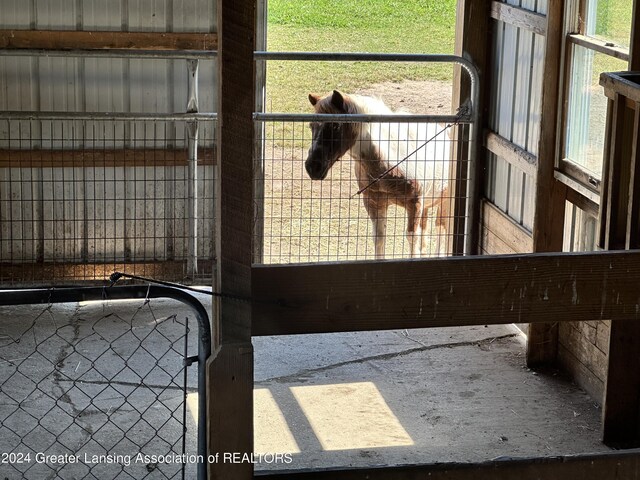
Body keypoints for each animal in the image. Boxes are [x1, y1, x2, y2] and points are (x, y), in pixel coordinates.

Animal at [304, 88, 450, 256]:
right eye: (311, 126)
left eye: (335, 126)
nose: (312, 167)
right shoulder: (374, 203)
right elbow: (379, 238)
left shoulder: (415, 204)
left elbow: (412, 238)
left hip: (444, 199)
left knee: (441, 226)